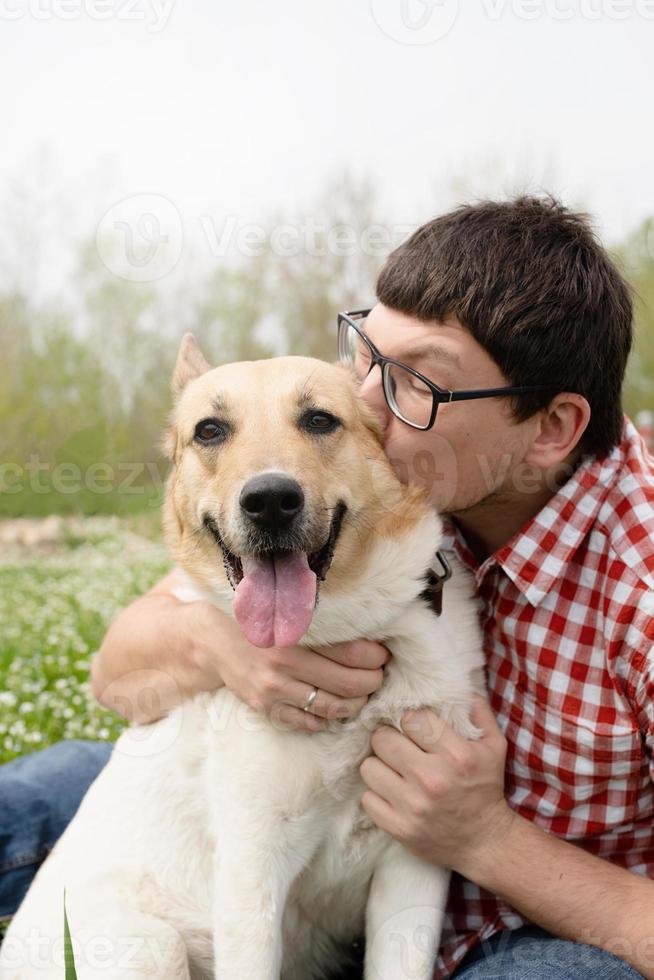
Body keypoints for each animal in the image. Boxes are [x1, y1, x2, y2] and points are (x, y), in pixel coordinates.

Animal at [0, 334, 484, 976]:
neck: (341, 630)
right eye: (210, 431)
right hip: (150, 948)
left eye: (319, 419)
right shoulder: (252, 873)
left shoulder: (412, 868)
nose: (271, 501)